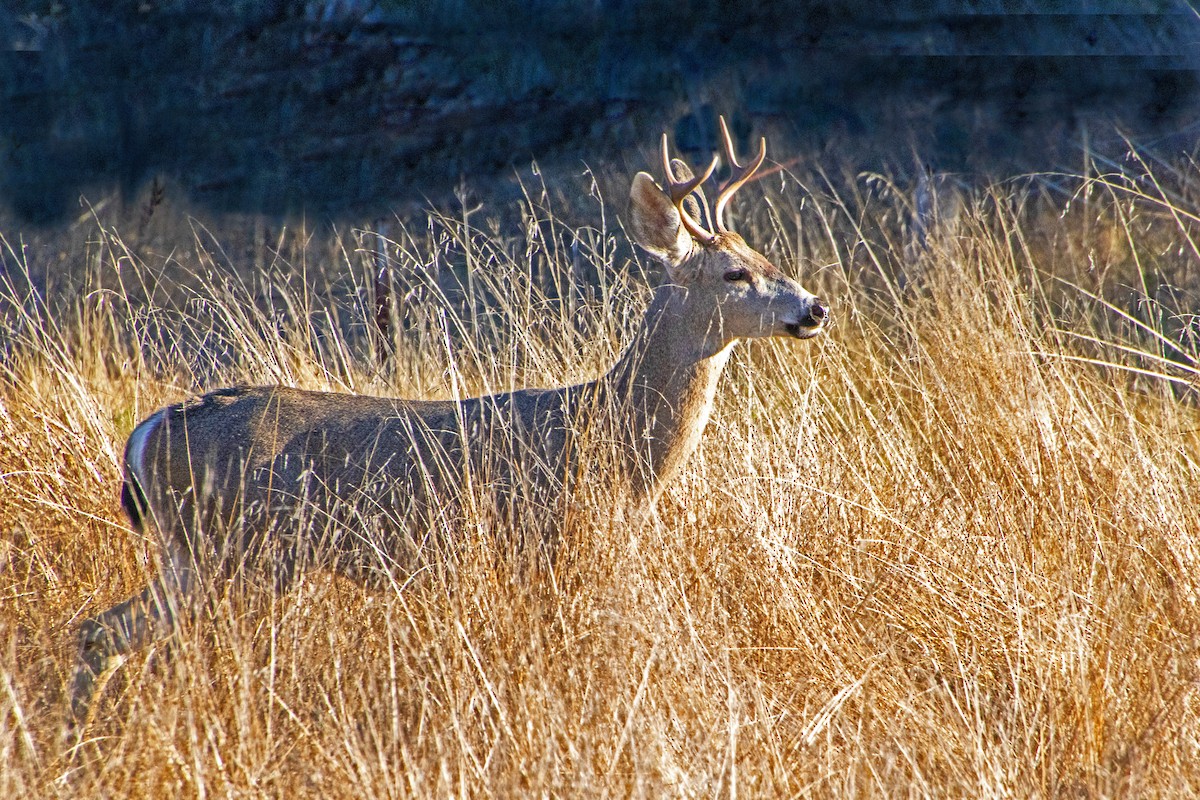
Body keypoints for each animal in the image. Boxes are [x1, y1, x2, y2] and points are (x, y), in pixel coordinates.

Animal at [68, 118, 829, 730]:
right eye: (734, 274)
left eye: (765, 257)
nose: (814, 308)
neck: (608, 433)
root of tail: (147, 433)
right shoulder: (544, 538)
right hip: (235, 546)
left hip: (198, 552)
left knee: (97, 633)